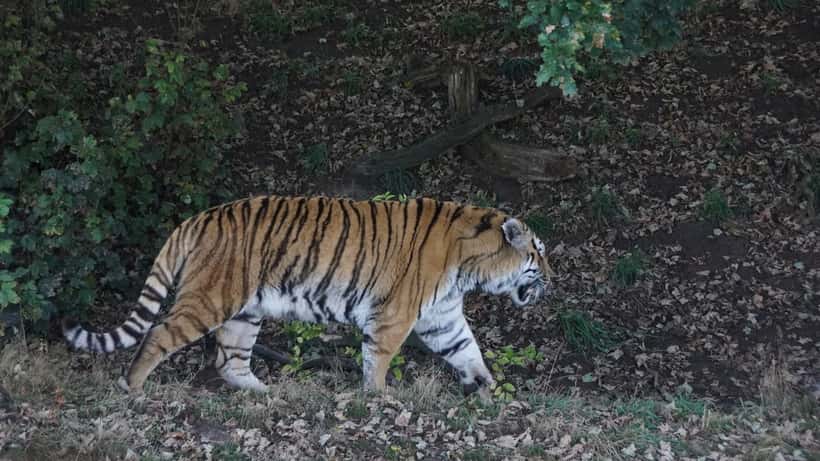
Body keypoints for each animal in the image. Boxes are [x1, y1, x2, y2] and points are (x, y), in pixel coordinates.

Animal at [63, 195, 555, 395]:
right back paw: (132, 388)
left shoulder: (443, 316)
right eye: (538, 252)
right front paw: (378, 399)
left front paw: (490, 388)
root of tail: (198, 218)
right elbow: (378, 360)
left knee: (229, 360)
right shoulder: (394, 315)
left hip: (245, 311)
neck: (470, 267)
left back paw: (263, 393)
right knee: (160, 334)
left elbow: (468, 350)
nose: (553, 277)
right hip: (210, 298)